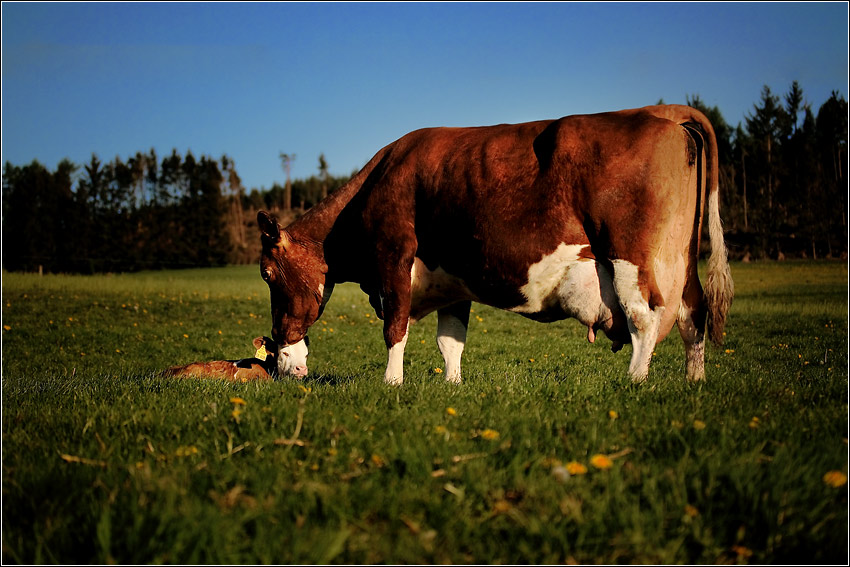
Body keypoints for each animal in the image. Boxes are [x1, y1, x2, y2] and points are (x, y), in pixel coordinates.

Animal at [255, 104, 732, 384]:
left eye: (267, 273)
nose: (279, 340)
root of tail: (659, 112)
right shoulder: (452, 281)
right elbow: (450, 341)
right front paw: (452, 385)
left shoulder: (394, 258)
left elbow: (395, 328)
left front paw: (392, 384)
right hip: (682, 260)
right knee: (693, 315)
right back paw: (694, 382)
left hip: (630, 256)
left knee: (645, 319)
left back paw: (635, 382)